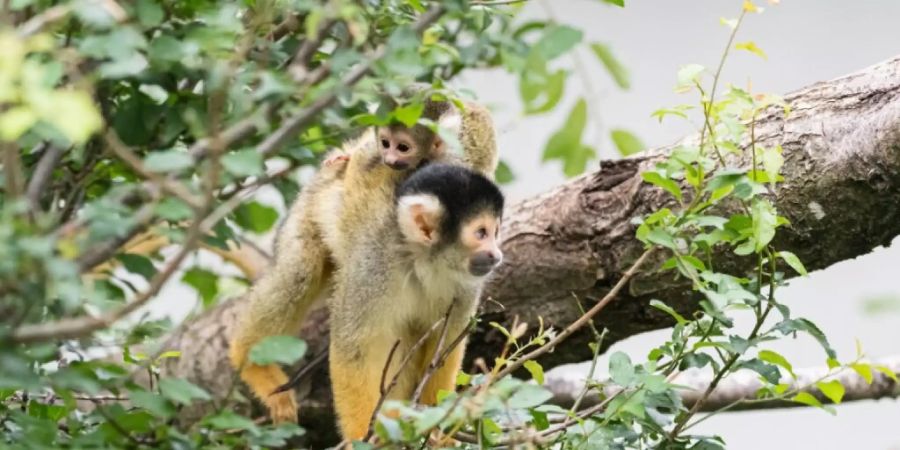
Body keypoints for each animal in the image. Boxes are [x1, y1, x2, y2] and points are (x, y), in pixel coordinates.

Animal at [326, 162, 502, 440]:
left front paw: (436, 428)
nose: (496, 255)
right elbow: (352, 348)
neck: (421, 262)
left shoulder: (466, 288)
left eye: (495, 232)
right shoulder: (372, 268)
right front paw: (361, 437)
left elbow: (446, 342)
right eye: (481, 233)